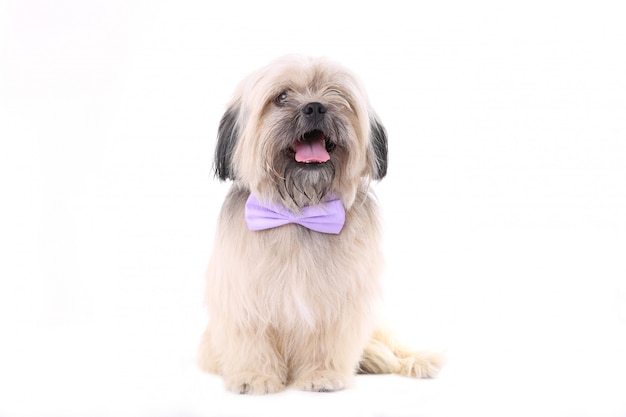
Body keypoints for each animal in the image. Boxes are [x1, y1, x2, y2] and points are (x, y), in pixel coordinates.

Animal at [197, 53, 442, 392]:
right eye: (281, 97)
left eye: (335, 93)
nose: (315, 107)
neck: (301, 209)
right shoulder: (243, 296)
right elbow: (251, 340)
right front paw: (254, 376)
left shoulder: (339, 303)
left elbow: (327, 340)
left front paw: (321, 375)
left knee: (391, 345)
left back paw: (410, 360)